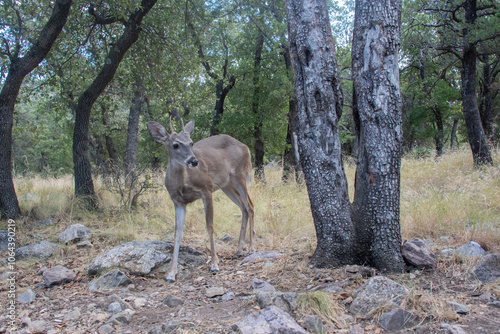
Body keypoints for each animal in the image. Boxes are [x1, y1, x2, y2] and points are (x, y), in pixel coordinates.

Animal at [146, 117, 254, 282]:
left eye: (191, 143)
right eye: (176, 144)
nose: (194, 161)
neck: (182, 183)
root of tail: (246, 147)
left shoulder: (206, 190)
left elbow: (210, 226)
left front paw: (214, 264)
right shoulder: (178, 202)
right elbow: (177, 233)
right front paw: (171, 273)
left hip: (240, 176)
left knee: (250, 205)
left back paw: (251, 249)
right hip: (227, 185)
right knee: (243, 208)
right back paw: (239, 250)